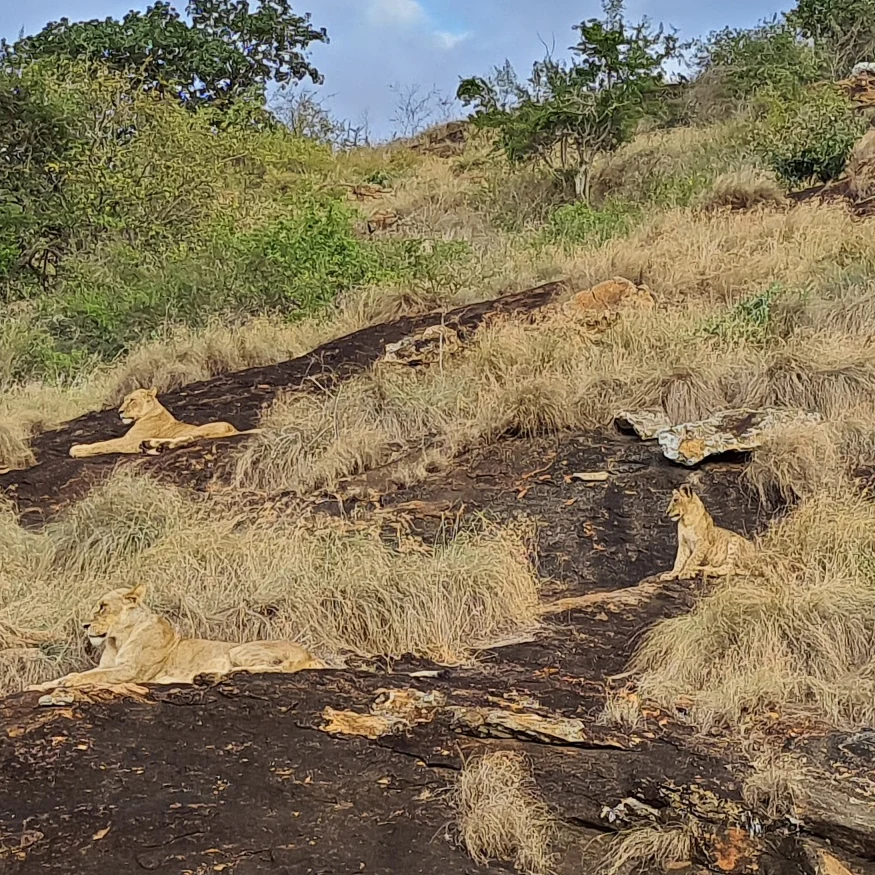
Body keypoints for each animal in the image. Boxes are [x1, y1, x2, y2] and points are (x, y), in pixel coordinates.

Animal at [28, 585, 324, 692]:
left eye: (103, 606)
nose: (85, 625)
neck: (117, 639)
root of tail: (311, 654)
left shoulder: (131, 671)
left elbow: (89, 676)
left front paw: (68, 682)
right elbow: (76, 674)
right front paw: (40, 685)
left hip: (238, 650)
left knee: (265, 669)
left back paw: (207, 676)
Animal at [69, 388, 261, 459]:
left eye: (132, 400)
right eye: (124, 400)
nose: (120, 412)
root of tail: (234, 429)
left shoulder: (128, 441)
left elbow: (104, 444)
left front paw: (77, 449)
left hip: (204, 428)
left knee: (191, 438)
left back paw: (153, 445)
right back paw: (152, 447)